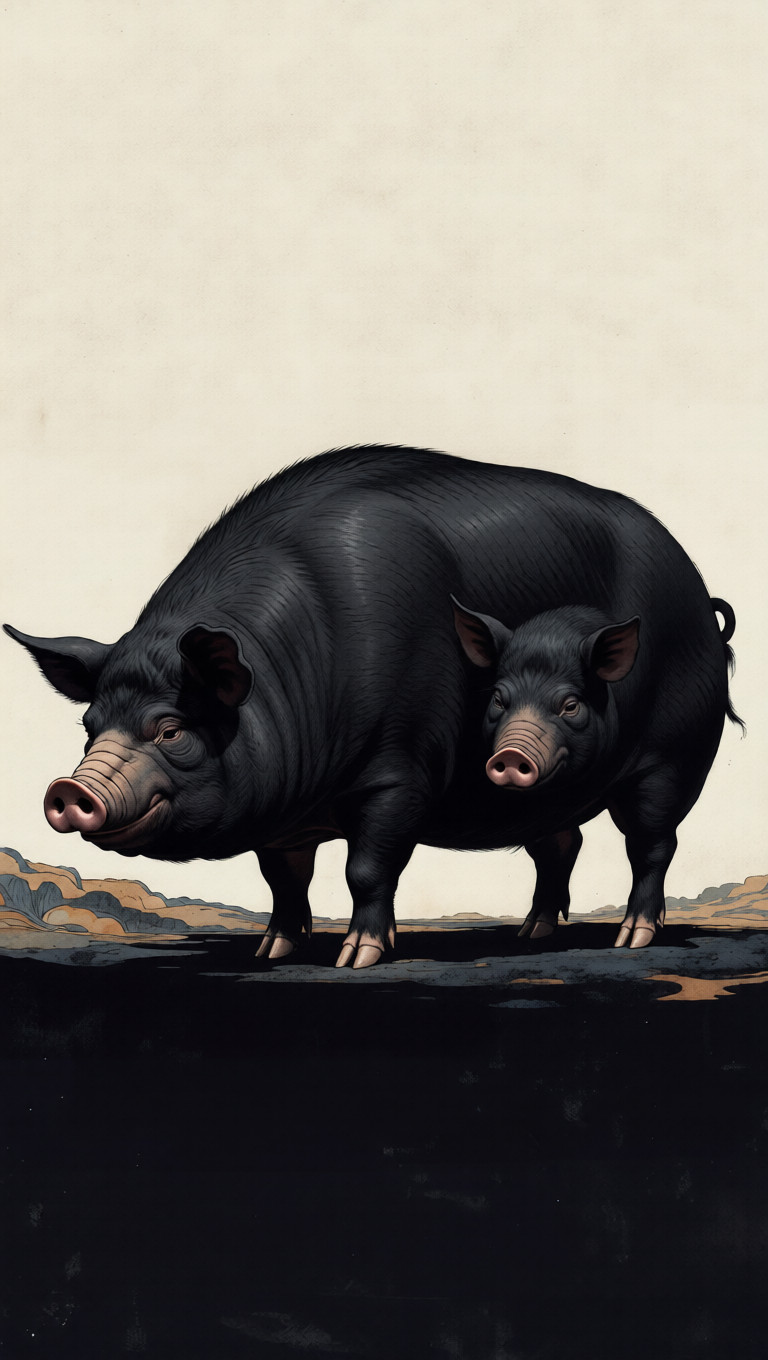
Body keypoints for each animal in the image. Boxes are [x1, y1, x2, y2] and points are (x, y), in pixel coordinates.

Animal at [4, 446, 740, 966]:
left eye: (170, 729)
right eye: (90, 725)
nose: (69, 788)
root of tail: (698, 591)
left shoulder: (400, 771)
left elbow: (366, 865)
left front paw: (355, 958)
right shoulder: (285, 817)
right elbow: (282, 877)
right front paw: (272, 949)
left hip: (671, 756)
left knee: (652, 841)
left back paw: (631, 938)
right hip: (544, 795)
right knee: (560, 841)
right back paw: (532, 933)